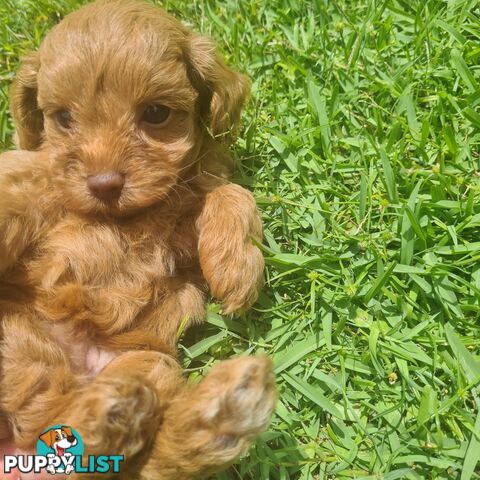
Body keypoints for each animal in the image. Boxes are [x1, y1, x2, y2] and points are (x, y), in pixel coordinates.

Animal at [0, 1, 276, 478]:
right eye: (63, 118)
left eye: (156, 113)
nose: (104, 184)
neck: (127, 218)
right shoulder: (41, 182)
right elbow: (22, 177)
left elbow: (231, 193)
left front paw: (237, 270)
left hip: (150, 363)